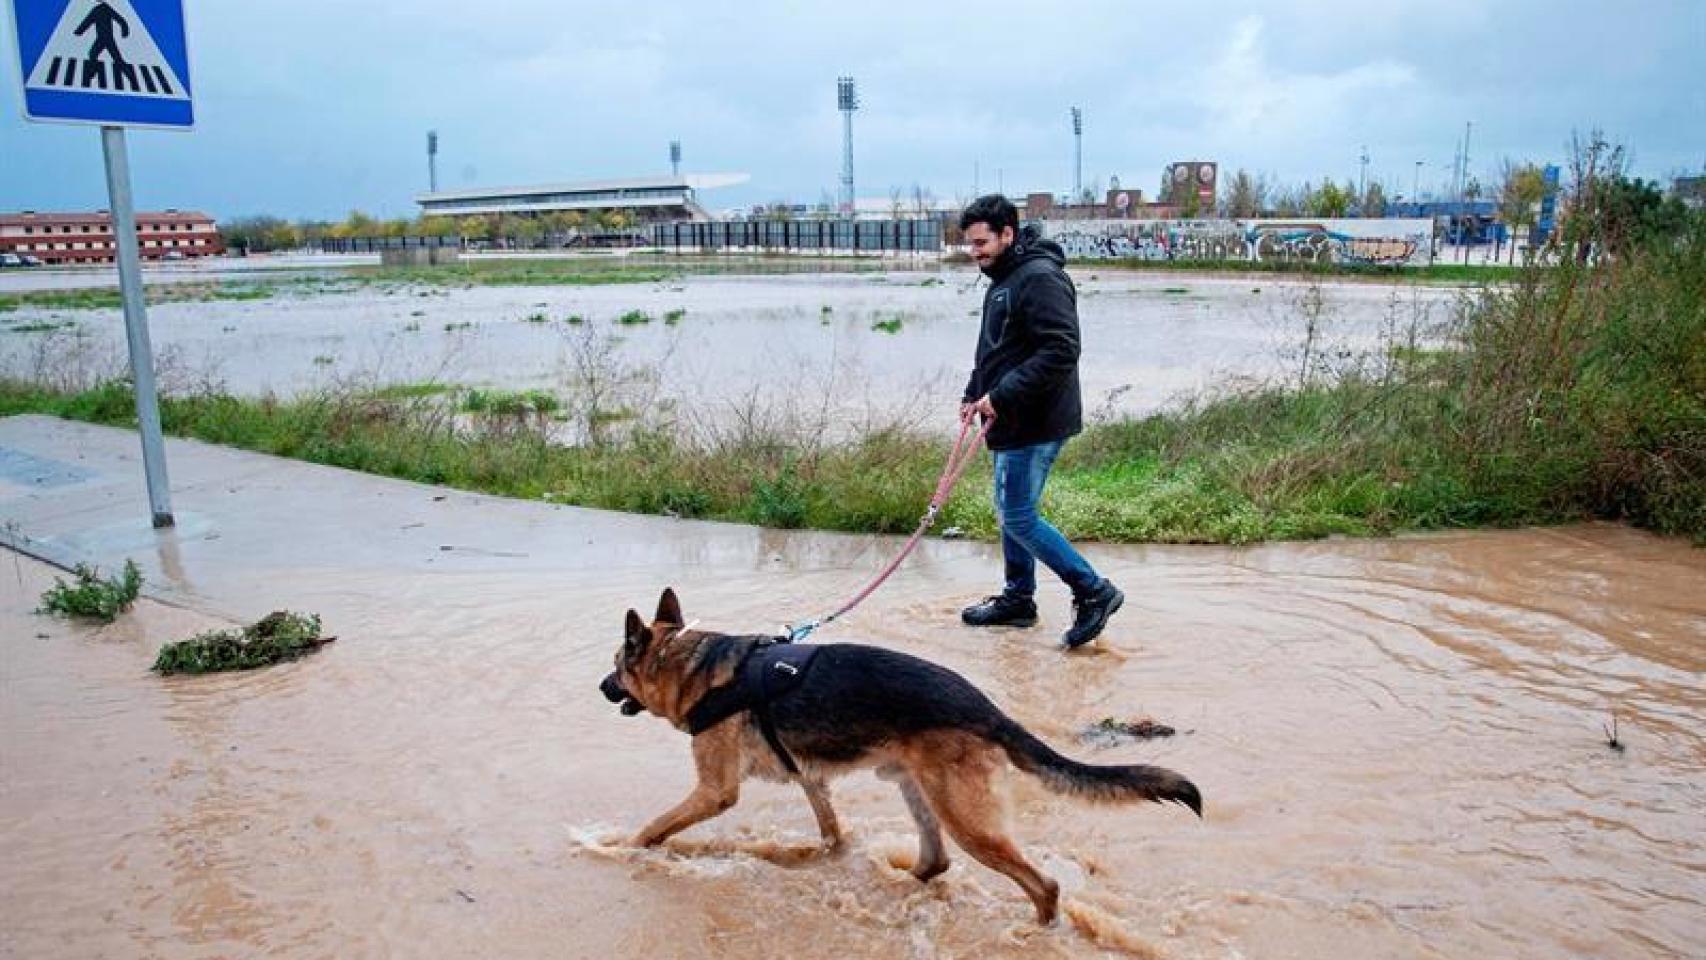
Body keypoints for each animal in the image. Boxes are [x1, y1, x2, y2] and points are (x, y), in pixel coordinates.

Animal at [600, 586, 1201, 920]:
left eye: (617, 666)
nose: (601, 687)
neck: (693, 666)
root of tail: (988, 709)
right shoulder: (811, 780)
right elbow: (831, 832)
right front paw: (824, 856)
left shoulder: (714, 792)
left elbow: (656, 826)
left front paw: (625, 849)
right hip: (919, 790)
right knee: (935, 862)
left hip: (966, 819)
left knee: (1042, 884)